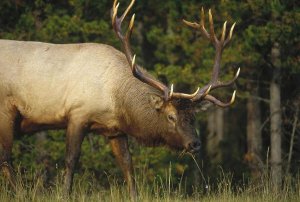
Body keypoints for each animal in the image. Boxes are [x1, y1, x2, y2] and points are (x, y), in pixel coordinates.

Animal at [0, 0, 239, 199]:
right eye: (171, 116)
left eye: (193, 116)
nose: (195, 143)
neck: (115, 98)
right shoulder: (77, 114)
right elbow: (71, 159)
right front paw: (64, 194)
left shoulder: (114, 129)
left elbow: (127, 164)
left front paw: (135, 196)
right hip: (6, 111)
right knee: (5, 158)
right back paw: (20, 194)